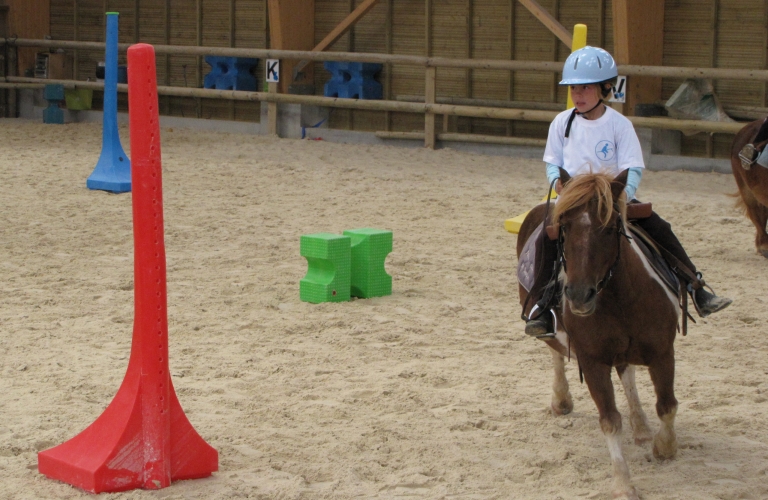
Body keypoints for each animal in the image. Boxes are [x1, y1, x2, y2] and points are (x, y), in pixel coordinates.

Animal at [520, 169, 680, 500]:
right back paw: (561, 400)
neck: (621, 298)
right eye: (564, 227)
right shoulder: (593, 362)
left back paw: (642, 427)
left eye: (609, 228)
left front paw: (664, 447)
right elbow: (609, 421)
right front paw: (623, 484)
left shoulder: (662, 352)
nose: (579, 295)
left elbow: (667, 405)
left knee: (627, 374)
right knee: (555, 353)